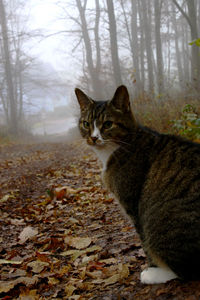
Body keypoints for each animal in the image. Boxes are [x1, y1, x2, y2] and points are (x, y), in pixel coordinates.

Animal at [75, 85, 200, 284]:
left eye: (108, 124)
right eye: (86, 124)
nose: (93, 138)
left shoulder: (134, 206)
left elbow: (145, 244)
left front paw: (152, 267)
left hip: (161, 222)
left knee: (188, 270)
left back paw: (156, 274)